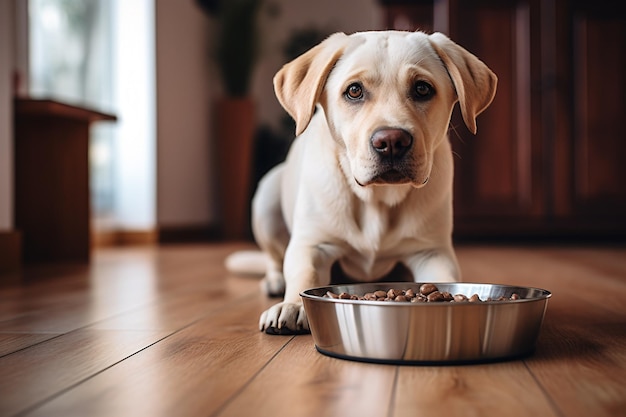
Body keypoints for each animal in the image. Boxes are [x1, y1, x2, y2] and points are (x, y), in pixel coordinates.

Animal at [227, 29, 494, 334]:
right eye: (354, 91)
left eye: (422, 89)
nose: (391, 142)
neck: (378, 198)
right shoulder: (312, 244)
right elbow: (304, 274)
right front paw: (292, 305)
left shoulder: (431, 251)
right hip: (266, 199)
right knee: (274, 259)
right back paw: (274, 281)